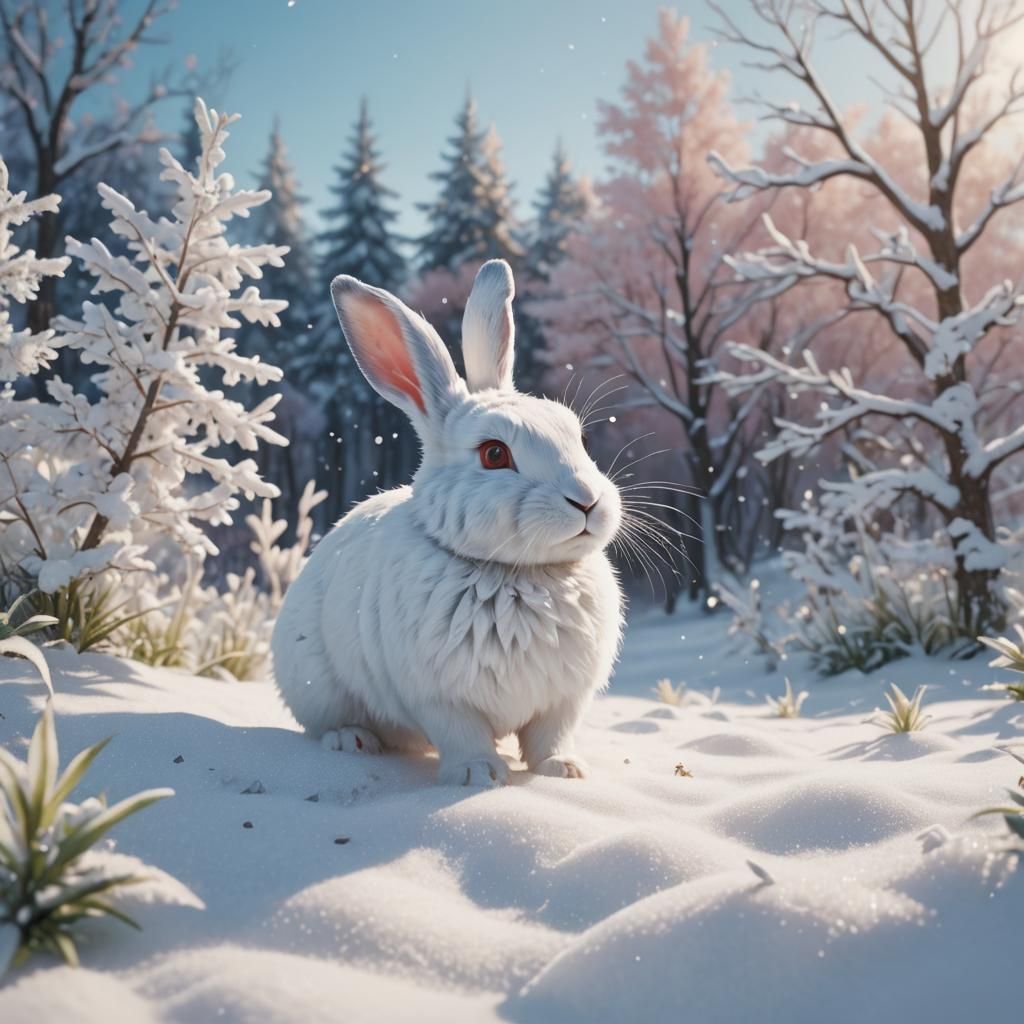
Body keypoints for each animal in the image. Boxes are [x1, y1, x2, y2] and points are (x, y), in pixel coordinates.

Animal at [271, 259, 624, 786]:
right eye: (494, 454)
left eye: (578, 437)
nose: (587, 501)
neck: (518, 573)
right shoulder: (441, 698)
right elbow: (463, 734)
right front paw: (479, 774)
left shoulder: (563, 700)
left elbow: (550, 736)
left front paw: (564, 771)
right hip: (316, 684)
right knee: (330, 722)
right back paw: (352, 741)